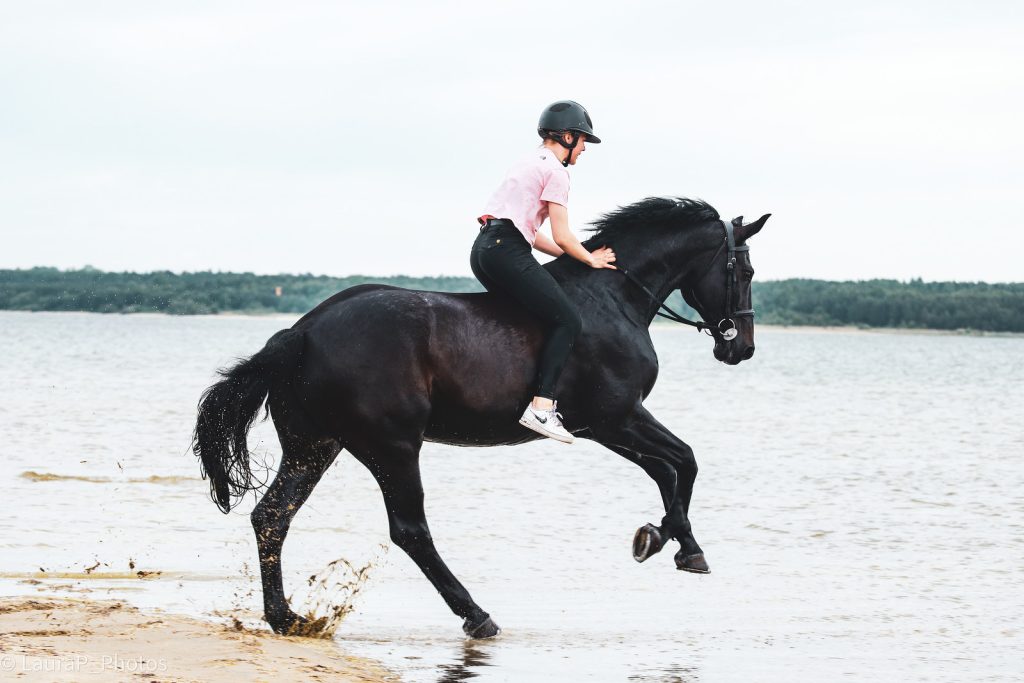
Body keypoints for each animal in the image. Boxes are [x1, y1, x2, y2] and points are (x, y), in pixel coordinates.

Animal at [191, 197, 769, 639]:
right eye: (746, 271)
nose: (741, 348)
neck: (614, 298)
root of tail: (302, 333)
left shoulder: (607, 426)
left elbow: (669, 469)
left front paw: (663, 540)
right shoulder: (616, 418)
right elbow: (684, 462)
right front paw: (672, 543)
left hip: (315, 446)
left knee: (272, 517)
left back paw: (286, 619)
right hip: (392, 447)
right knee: (410, 530)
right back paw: (476, 614)